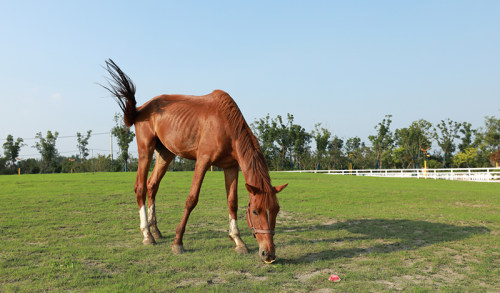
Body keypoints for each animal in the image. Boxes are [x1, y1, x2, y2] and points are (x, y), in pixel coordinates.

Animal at [99, 59, 288, 262]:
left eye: (276, 209)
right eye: (255, 211)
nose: (268, 253)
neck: (226, 125)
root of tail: (141, 109)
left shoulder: (231, 166)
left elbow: (232, 202)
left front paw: (238, 241)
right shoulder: (203, 161)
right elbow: (192, 199)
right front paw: (178, 243)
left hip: (165, 154)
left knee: (152, 185)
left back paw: (155, 230)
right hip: (145, 151)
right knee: (140, 187)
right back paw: (147, 235)